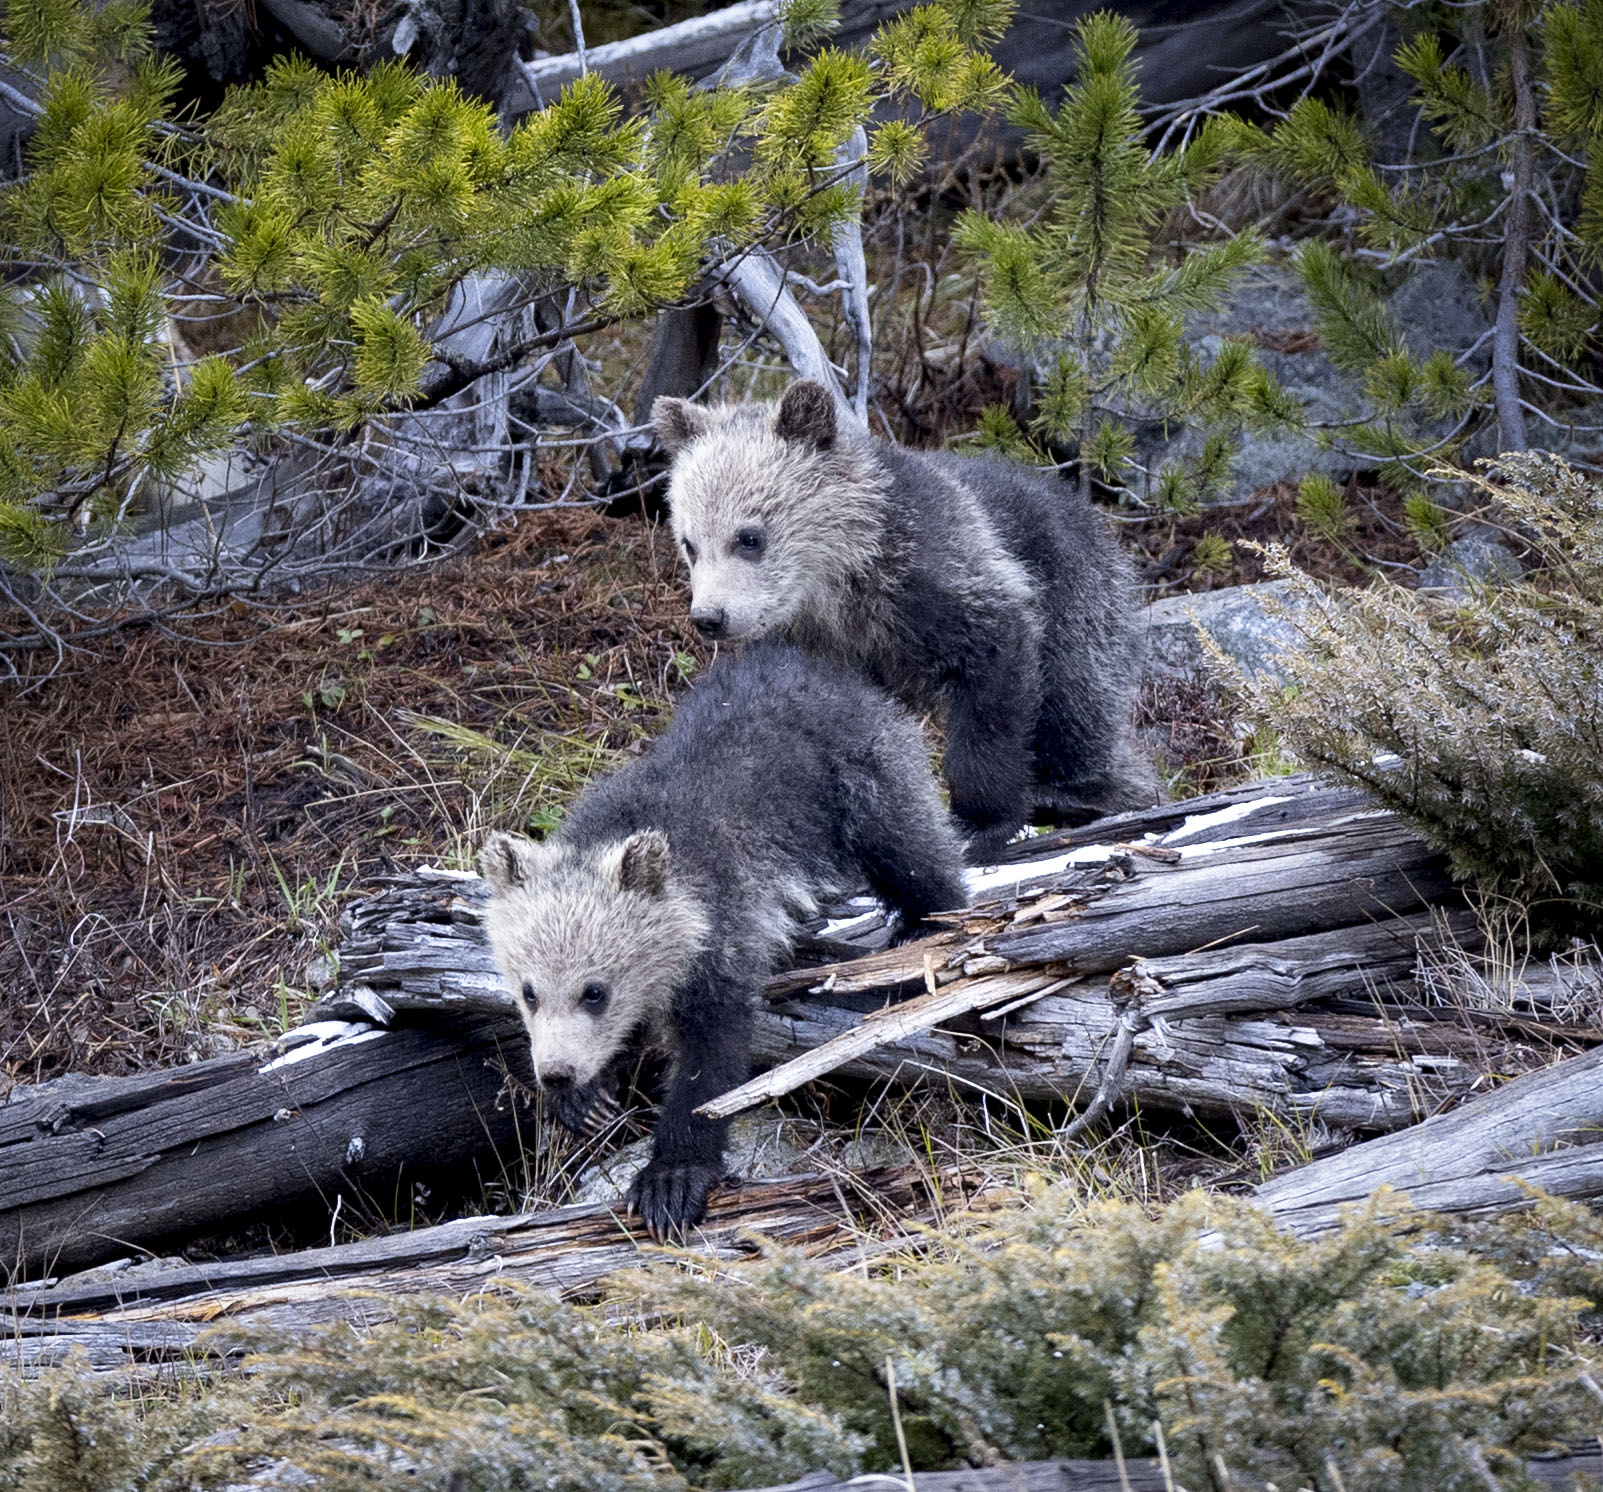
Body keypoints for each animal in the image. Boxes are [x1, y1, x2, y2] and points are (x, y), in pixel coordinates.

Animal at [479, 638, 967, 1240]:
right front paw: (587, 1102)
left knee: (911, 845)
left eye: (595, 991)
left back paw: (930, 923)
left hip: (860, 773)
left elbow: (711, 1056)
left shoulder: (723, 930)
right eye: (529, 992)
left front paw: (671, 1179)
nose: (557, 1073)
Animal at [653, 379, 1155, 858]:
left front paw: (981, 819)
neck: (839, 581)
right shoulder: (824, 644)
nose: (710, 617)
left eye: (749, 537)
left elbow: (994, 683)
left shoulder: (945, 577)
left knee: (1076, 704)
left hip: (1078, 593)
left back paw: (1082, 790)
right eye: (690, 542)